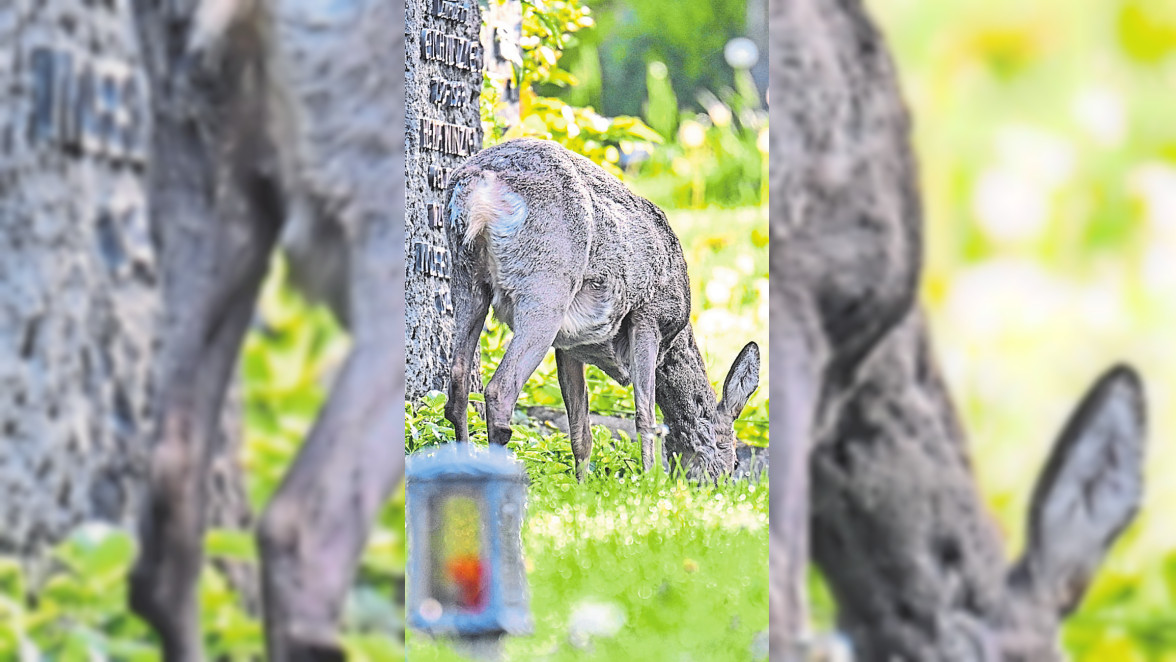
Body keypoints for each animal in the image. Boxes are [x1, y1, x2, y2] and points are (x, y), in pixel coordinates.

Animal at [442, 139, 762, 482]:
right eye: (735, 463)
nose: (718, 485)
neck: (673, 342)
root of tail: (481, 181)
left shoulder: (569, 346)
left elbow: (581, 428)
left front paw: (582, 485)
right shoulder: (648, 317)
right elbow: (645, 415)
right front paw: (649, 481)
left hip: (467, 276)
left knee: (457, 382)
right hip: (546, 285)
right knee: (500, 390)